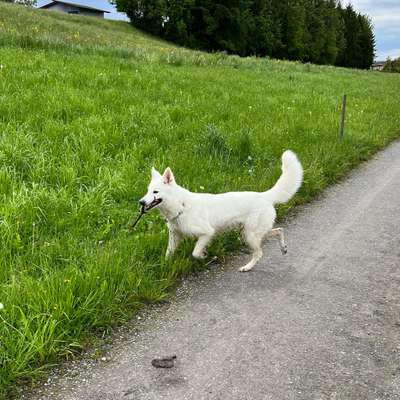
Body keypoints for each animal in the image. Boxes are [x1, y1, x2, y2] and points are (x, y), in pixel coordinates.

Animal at [140, 150, 304, 272]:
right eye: (147, 191)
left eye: (155, 192)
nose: (140, 202)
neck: (181, 205)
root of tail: (264, 195)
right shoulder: (175, 236)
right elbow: (168, 254)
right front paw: (164, 266)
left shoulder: (207, 233)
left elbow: (195, 252)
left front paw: (205, 255)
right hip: (251, 232)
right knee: (279, 230)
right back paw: (283, 248)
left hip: (250, 235)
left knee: (259, 253)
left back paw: (247, 267)